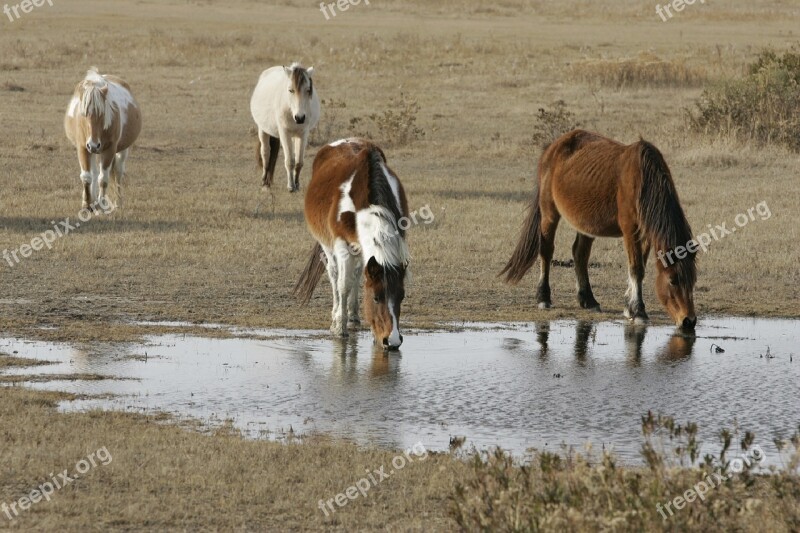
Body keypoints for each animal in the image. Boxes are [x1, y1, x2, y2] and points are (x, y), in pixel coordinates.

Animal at [250, 62, 318, 191]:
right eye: (291, 90)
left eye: (308, 90)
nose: (300, 118)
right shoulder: (284, 133)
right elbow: (289, 161)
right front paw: (291, 186)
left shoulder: (303, 134)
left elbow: (299, 162)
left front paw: (297, 184)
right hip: (263, 130)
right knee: (265, 153)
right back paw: (264, 181)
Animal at [292, 138, 410, 350]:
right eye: (376, 297)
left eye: (401, 296)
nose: (393, 341)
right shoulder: (341, 245)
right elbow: (343, 284)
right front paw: (339, 327)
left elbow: (356, 278)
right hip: (328, 245)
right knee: (334, 274)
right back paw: (337, 313)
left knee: (355, 274)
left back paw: (353, 315)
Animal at [504, 129, 696, 328]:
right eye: (673, 280)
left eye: (693, 281)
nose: (689, 321)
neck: (642, 180)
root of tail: (552, 147)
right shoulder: (630, 230)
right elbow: (636, 268)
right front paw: (638, 311)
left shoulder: (645, 233)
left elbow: (639, 266)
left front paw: (629, 307)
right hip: (549, 213)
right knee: (547, 251)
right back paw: (543, 298)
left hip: (585, 223)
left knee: (580, 254)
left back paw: (588, 300)